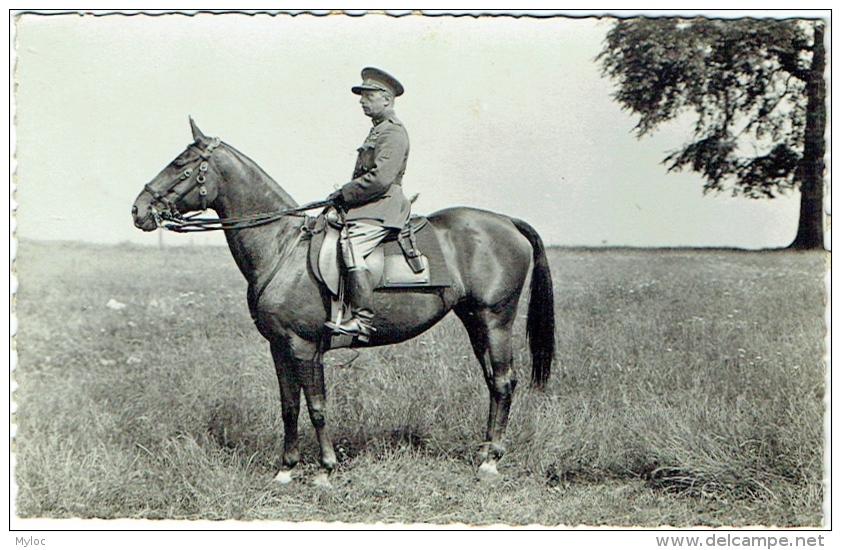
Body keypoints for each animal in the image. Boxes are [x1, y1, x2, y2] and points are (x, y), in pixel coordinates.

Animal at [131, 121, 552, 488]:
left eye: (181, 164)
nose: (138, 210)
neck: (282, 248)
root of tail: (507, 222)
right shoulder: (279, 347)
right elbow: (289, 407)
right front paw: (286, 469)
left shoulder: (304, 347)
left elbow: (317, 407)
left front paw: (325, 469)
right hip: (474, 321)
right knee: (493, 382)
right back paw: (484, 450)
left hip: (495, 320)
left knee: (503, 382)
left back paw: (490, 460)